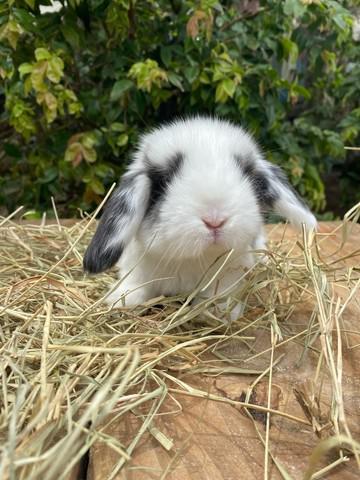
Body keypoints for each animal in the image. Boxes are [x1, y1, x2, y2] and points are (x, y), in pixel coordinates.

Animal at [83, 118, 316, 310]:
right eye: (163, 182)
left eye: (248, 176)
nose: (215, 221)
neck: (195, 259)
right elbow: (137, 284)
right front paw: (122, 300)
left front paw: (218, 311)